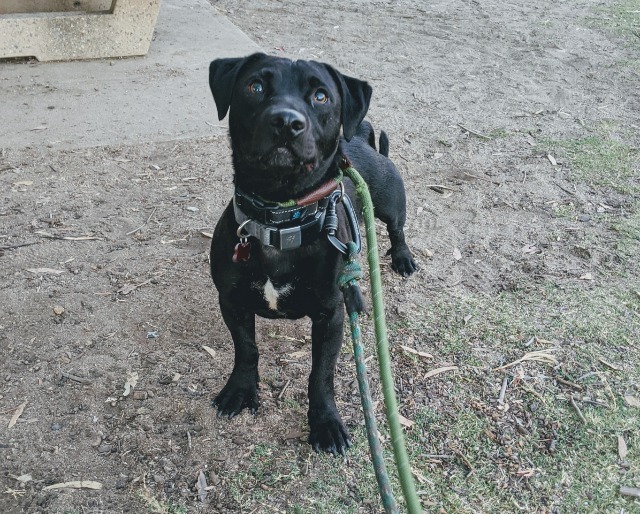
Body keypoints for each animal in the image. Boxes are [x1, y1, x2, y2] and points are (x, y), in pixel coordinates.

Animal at [206, 52, 416, 452]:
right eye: (255, 86)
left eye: (321, 96)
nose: (286, 122)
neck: (280, 220)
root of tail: (362, 142)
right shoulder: (232, 302)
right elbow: (246, 349)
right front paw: (240, 390)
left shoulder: (329, 316)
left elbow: (321, 374)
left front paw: (325, 422)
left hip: (389, 204)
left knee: (396, 230)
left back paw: (402, 258)